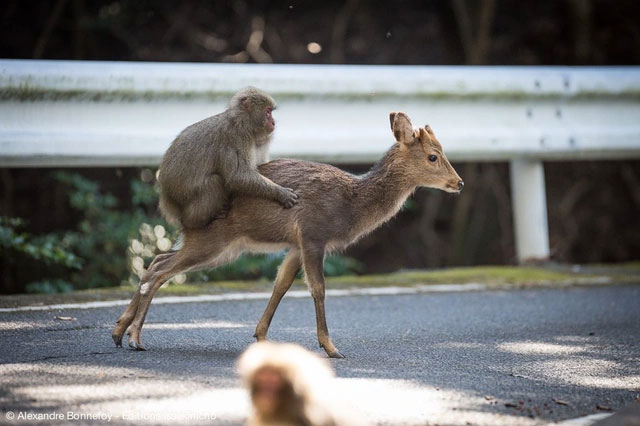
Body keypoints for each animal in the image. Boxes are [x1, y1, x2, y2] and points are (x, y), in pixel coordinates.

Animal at [112, 112, 464, 358]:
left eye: (442, 151)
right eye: (433, 156)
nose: (459, 183)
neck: (350, 205)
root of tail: (182, 212)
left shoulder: (295, 244)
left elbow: (280, 285)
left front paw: (261, 336)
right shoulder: (313, 233)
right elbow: (318, 289)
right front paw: (331, 347)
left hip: (220, 246)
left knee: (157, 260)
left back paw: (119, 332)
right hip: (213, 240)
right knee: (160, 270)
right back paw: (135, 338)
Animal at [157, 87, 299, 229]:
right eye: (268, 112)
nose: (273, 123)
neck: (241, 122)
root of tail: (167, 198)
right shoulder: (236, 138)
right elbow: (237, 176)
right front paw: (280, 193)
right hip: (184, 198)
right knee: (214, 181)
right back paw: (195, 221)